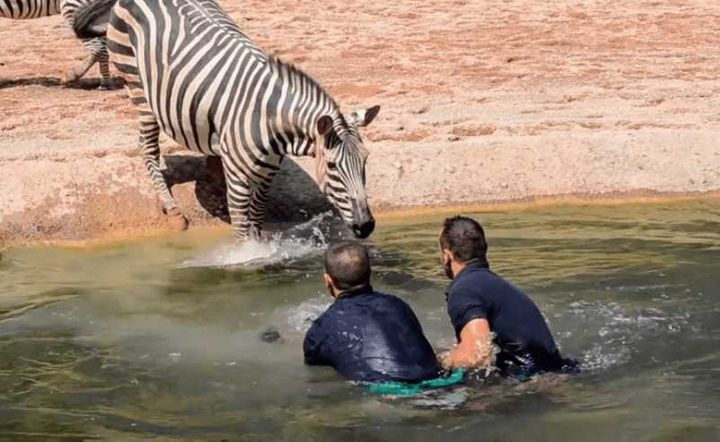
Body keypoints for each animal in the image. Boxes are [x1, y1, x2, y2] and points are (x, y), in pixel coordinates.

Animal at [74, 0, 380, 240]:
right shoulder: (241, 183)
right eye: (332, 166)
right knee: (147, 148)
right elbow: (244, 232)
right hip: (138, 88)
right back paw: (173, 211)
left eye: (365, 161)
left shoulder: (266, 176)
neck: (270, 120)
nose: (365, 227)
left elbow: (257, 220)